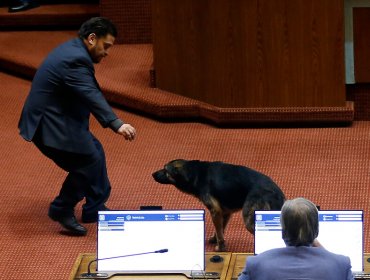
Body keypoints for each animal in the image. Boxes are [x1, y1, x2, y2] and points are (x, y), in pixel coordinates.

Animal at [152, 160, 284, 252]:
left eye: (166, 171)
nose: (152, 174)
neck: (195, 173)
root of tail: (276, 192)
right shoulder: (224, 212)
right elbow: (220, 229)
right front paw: (216, 240)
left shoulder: (214, 211)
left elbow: (220, 233)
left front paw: (220, 248)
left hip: (249, 221)